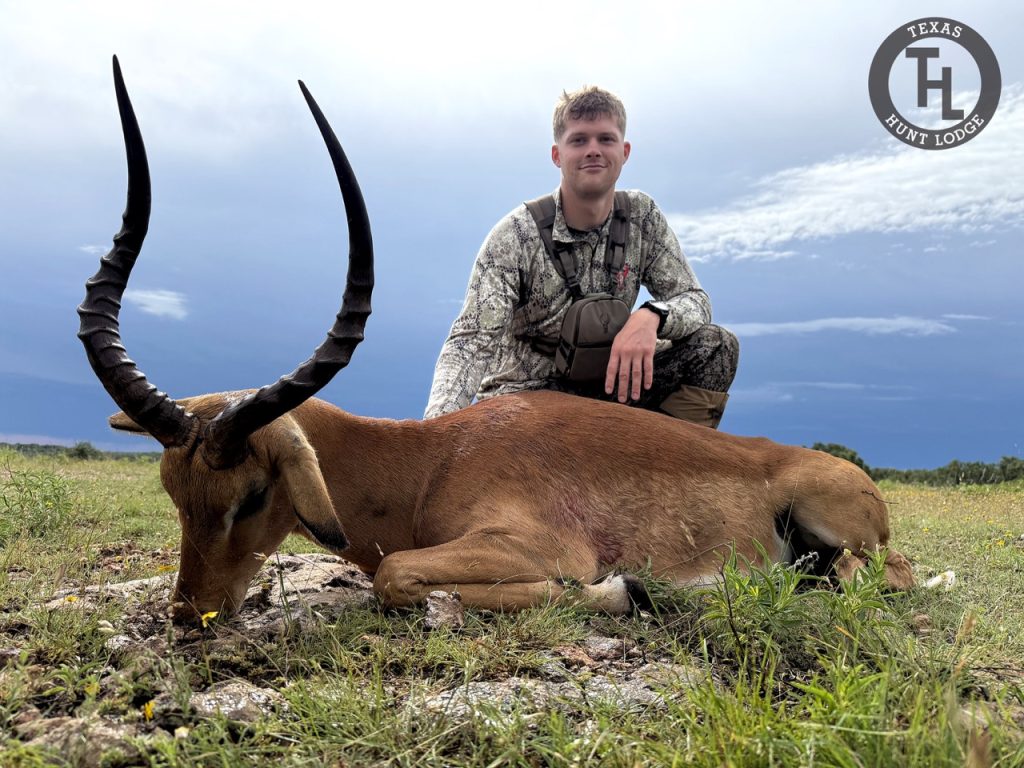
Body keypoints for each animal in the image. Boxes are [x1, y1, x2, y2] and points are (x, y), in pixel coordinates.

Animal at [80, 59, 914, 625]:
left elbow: (396, 575)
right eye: (173, 489)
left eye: (252, 493)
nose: (191, 618)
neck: (427, 466)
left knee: (884, 575)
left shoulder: (531, 547)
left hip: (841, 531)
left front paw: (627, 588)